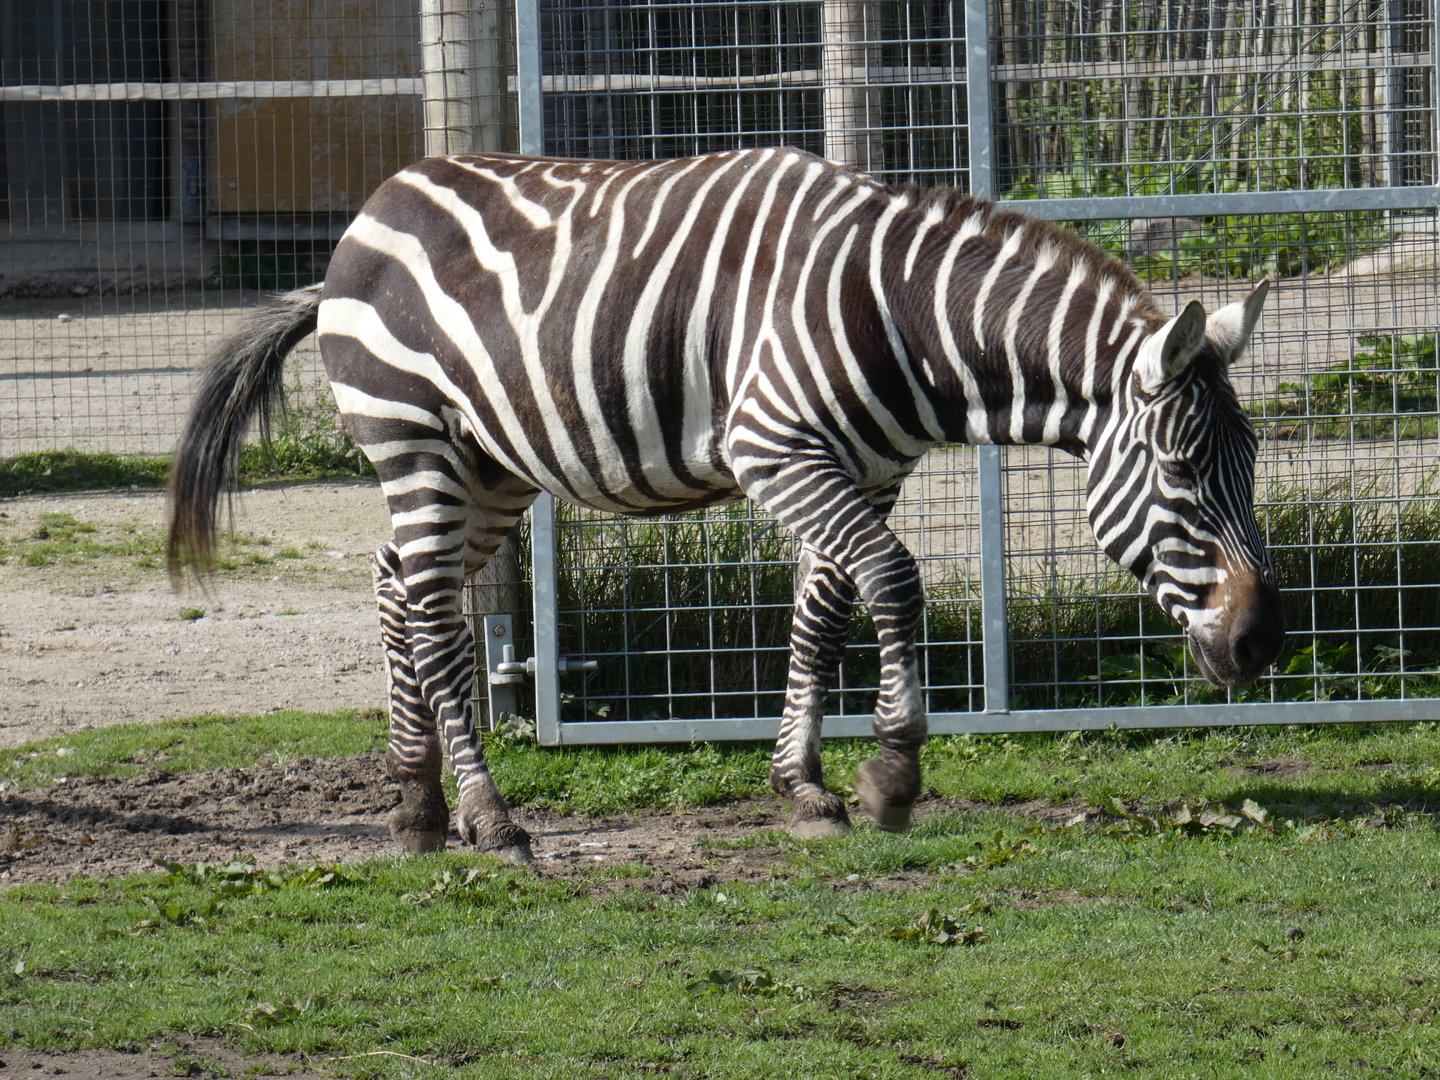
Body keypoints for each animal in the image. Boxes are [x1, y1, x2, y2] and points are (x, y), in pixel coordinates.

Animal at [168, 147, 1285, 863]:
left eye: (1251, 467)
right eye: (1185, 472)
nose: (1263, 643)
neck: (901, 319)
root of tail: (370, 211)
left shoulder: (864, 470)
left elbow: (822, 616)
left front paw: (806, 788)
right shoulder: (774, 450)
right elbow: (894, 582)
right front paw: (892, 776)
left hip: (490, 463)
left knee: (396, 584)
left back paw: (415, 803)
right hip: (416, 436)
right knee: (438, 617)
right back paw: (489, 819)